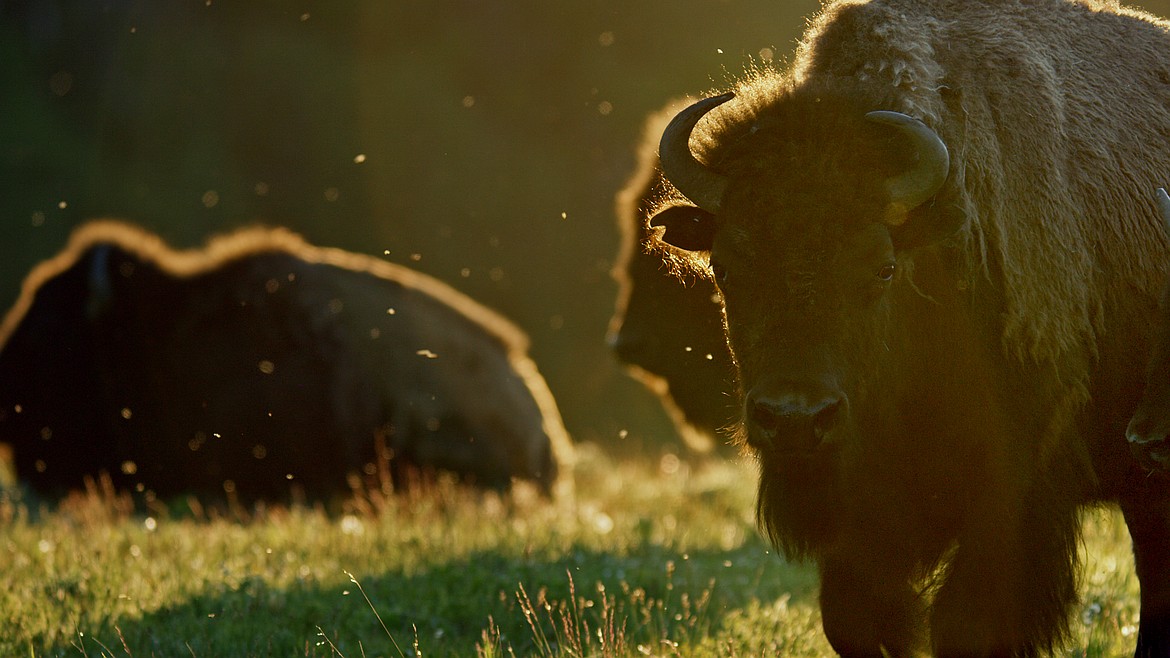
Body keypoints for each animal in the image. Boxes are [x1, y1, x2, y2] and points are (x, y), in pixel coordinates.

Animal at [655, 1, 1170, 655]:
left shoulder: (1012, 500)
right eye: (725, 266)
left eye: (883, 268)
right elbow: (853, 618)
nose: (795, 419)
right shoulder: (860, 527)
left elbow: (968, 624)